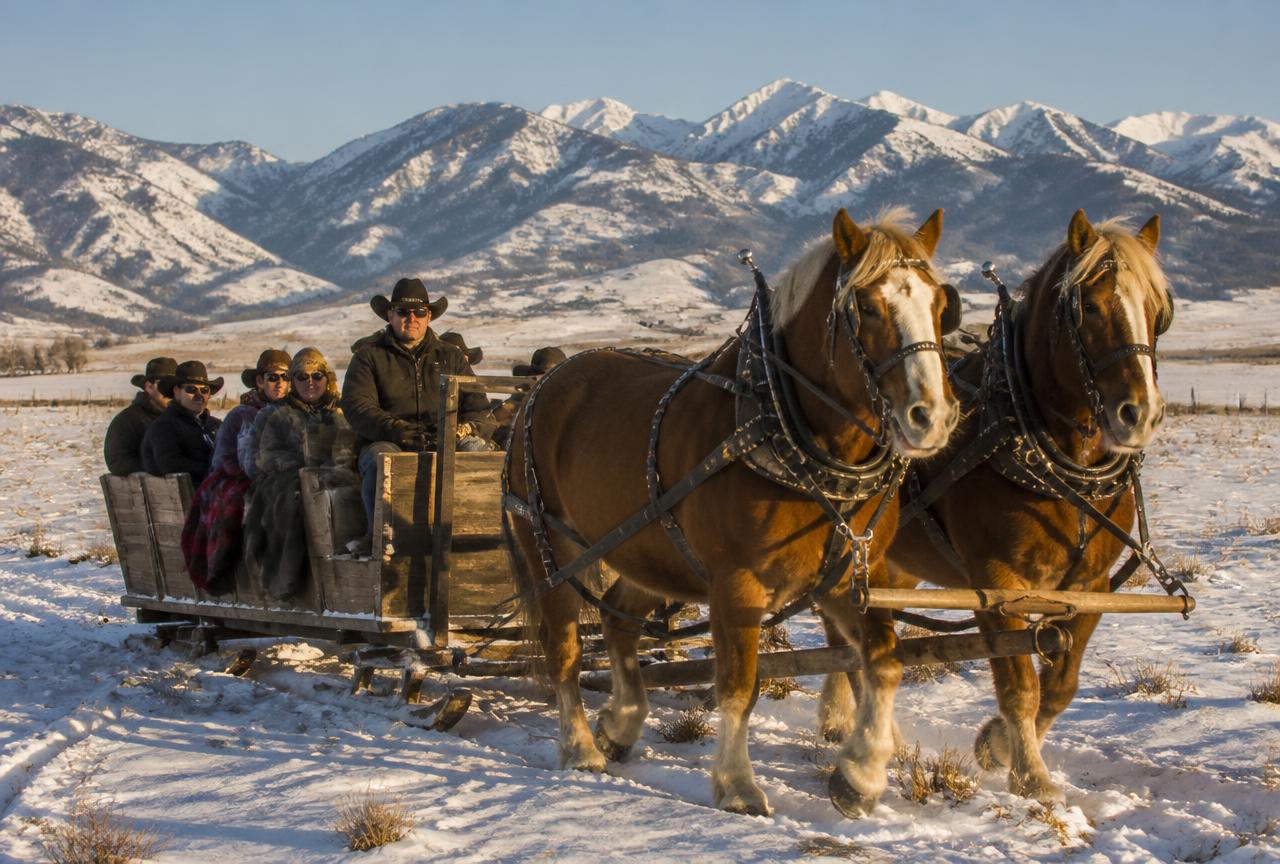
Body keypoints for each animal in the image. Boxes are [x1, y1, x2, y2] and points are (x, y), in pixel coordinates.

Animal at [503, 206, 962, 818]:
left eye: (940, 306)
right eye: (865, 307)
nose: (930, 416)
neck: (787, 429)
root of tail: (544, 385)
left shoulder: (848, 578)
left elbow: (884, 663)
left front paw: (859, 776)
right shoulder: (736, 583)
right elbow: (740, 686)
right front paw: (738, 785)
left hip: (646, 548)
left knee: (620, 623)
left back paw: (622, 724)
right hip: (551, 550)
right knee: (564, 649)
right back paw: (580, 747)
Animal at [818, 209, 1175, 807]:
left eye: (1157, 311)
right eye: (1090, 307)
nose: (1139, 414)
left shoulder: (1092, 586)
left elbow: (1062, 684)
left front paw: (997, 745)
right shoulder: (997, 583)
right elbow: (1020, 686)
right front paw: (1030, 775)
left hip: (890, 563)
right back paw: (846, 722)